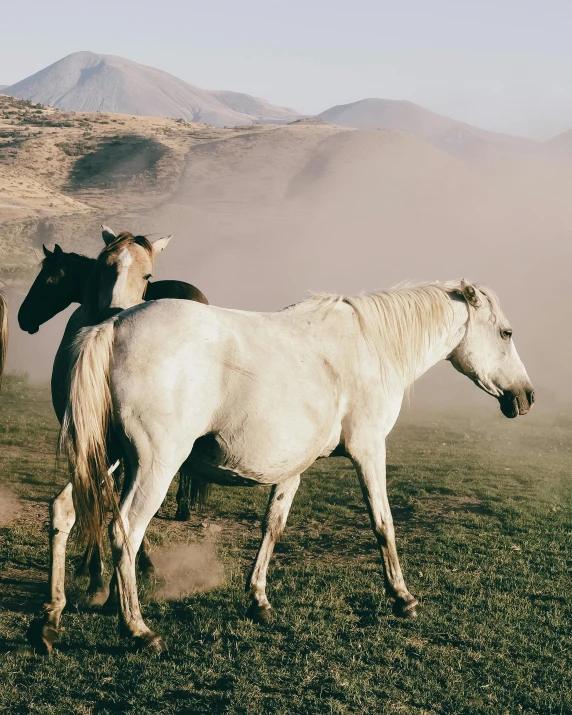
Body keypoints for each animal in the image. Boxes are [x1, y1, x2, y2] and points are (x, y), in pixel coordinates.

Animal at [54, 280, 532, 656]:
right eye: (506, 332)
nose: (526, 396)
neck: (369, 345)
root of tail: (114, 326)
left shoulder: (291, 467)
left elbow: (273, 526)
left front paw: (258, 600)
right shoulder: (368, 450)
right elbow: (383, 523)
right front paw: (402, 597)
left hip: (108, 459)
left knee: (65, 512)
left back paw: (54, 615)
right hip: (155, 464)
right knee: (125, 532)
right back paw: (138, 630)